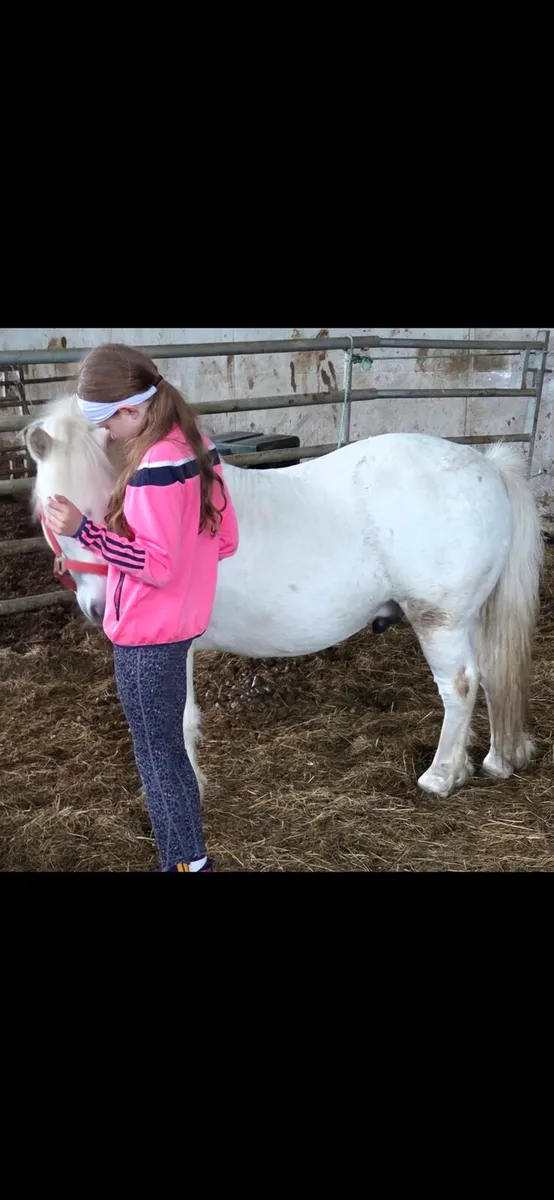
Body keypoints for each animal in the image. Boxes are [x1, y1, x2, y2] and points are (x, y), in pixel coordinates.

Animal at [25, 395, 543, 800]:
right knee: (492, 674)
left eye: (111, 511)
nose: (98, 610)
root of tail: (489, 467)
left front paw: (191, 787)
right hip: (471, 617)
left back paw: (441, 776)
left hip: (439, 619)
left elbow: (179, 722)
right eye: (54, 514)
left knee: (460, 685)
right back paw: (497, 760)